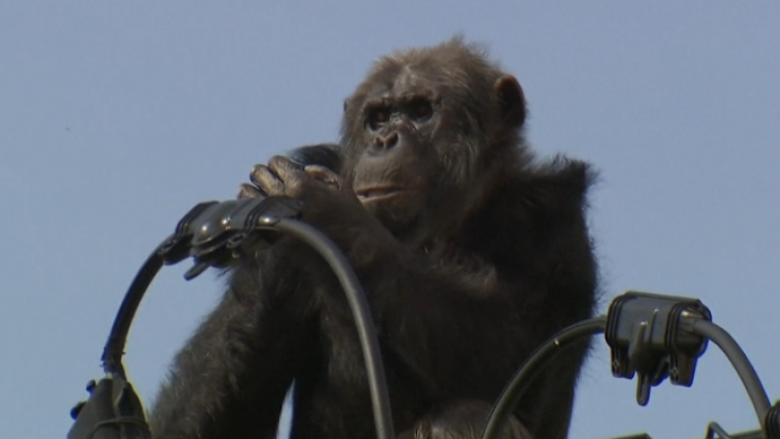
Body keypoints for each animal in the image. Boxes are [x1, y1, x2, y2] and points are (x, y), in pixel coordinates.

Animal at [152, 37, 600, 439]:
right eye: (379, 117)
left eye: (421, 111)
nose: (385, 140)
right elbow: (223, 415)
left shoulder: (553, 223)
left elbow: (511, 355)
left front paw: (325, 209)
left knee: (463, 415)